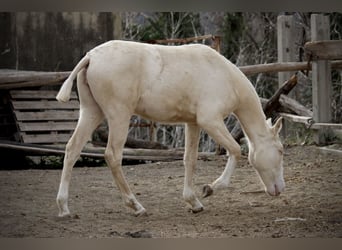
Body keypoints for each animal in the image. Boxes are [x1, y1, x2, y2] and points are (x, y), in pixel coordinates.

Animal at [56, 41, 286, 217]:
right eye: (281, 151)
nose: (279, 189)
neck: (223, 75)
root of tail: (91, 57)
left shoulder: (193, 123)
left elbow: (190, 160)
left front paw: (194, 202)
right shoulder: (210, 121)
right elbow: (236, 150)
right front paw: (210, 188)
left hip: (91, 112)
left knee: (72, 149)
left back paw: (64, 208)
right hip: (119, 116)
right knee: (112, 155)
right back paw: (136, 206)